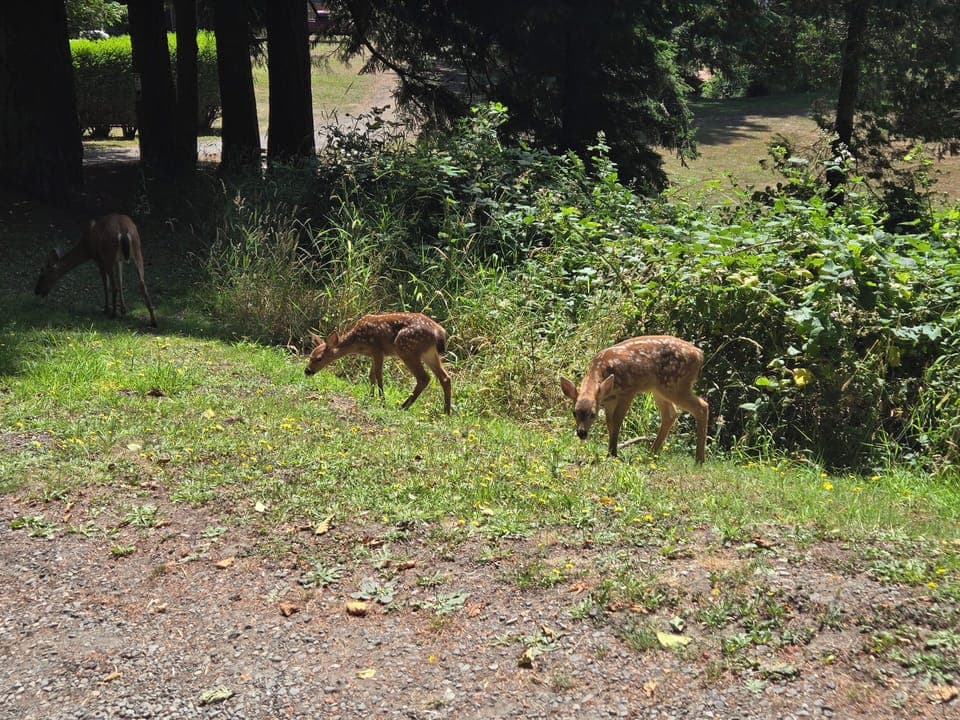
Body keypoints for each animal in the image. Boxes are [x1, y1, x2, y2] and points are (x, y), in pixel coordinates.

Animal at [305, 312, 452, 414]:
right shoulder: (373, 354)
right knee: (445, 377)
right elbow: (371, 376)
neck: (358, 341)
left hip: (406, 348)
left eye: (319, 358)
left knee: (424, 378)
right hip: (429, 353)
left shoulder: (378, 349)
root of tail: (439, 332)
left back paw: (403, 406)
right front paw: (370, 397)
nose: (307, 371)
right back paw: (446, 412)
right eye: (310, 356)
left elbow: (379, 375)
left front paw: (382, 401)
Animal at [560, 335, 709, 464]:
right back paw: (651, 454)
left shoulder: (628, 391)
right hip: (659, 389)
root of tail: (700, 354)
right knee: (671, 414)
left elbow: (617, 420)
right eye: (574, 412)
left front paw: (613, 453)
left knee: (702, 406)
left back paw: (699, 460)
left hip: (675, 385)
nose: (581, 433)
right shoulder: (609, 400)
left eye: (593, 414)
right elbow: (609, 422)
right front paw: (610, 451)